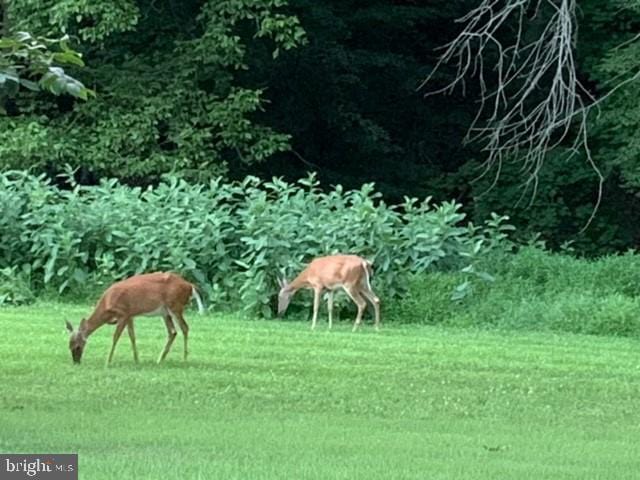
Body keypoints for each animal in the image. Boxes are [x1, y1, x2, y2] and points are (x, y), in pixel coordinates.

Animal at [63, 270, 204, 368]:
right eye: (69, 346)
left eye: (78, 347)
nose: (76, 362)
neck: (107, 304)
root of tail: (190, 286)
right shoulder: (130, 315)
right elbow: (132, 336)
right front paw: (136, 360)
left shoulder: (124, 313)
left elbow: (115, 337)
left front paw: (108, 361)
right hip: (165, 312)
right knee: (173, 332)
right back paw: (160, 360)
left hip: (175, 305)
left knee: (185, 327)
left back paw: (184, 359)